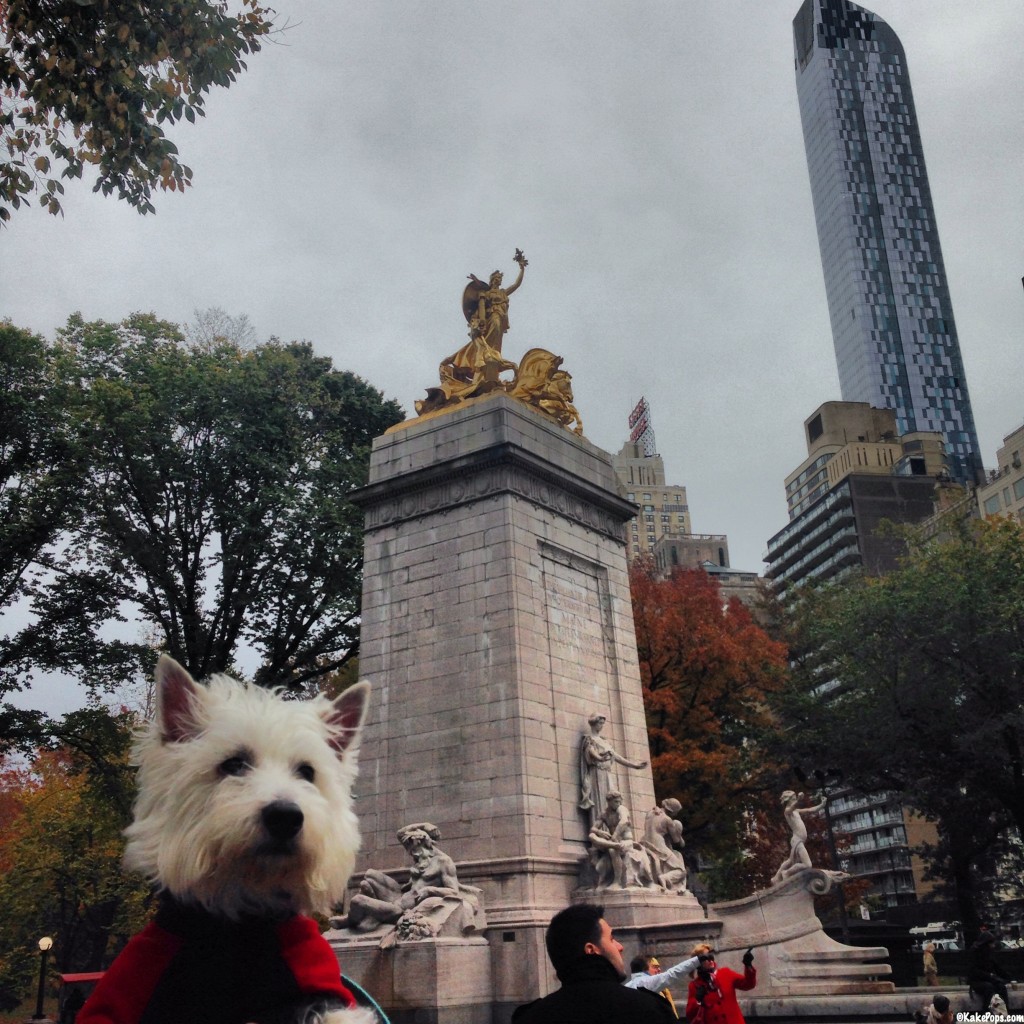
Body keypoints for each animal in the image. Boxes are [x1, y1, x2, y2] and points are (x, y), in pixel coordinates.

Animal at [76, 655, 380, 1024]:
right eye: (233, 764)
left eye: (307, 772)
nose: (285, 817)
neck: (239, 925)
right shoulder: (128, 993)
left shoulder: (321, 989)